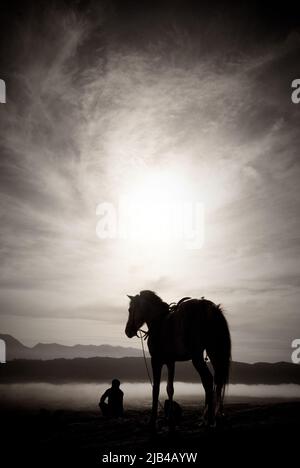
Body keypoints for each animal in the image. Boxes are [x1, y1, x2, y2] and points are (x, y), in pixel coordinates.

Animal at [125, 290, 231, 430]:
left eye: (130, 309)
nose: (127, 331)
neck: (159, 322)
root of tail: (210, 308)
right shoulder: (171, 362)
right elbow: (170, 389)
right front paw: (170, 419)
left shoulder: (156, 361)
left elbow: (156, 389)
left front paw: (152, 421)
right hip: (214, 353)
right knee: (217, 382)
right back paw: (212, 418)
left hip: (197, 357)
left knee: (208, 380)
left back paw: (208, 420)